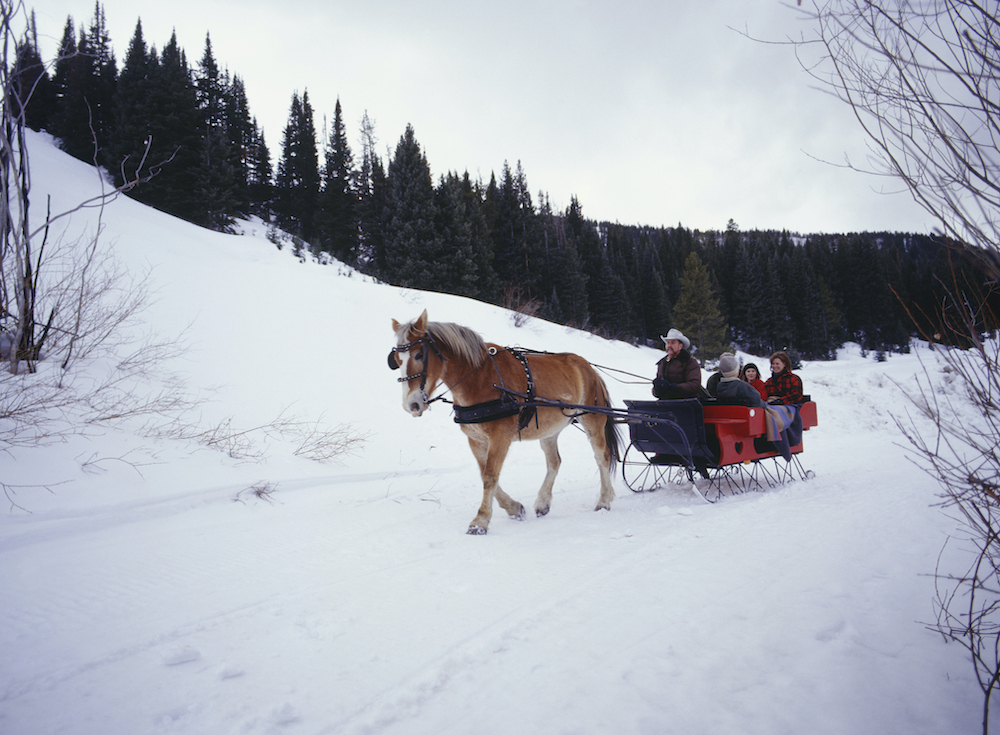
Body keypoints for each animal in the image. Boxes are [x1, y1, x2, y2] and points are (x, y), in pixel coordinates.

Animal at [389, 309, 620, 534]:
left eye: (419, 355)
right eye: (397, 360)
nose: (411, 405)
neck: (479, 378)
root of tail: (589, 368)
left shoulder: (501, 436)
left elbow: (490, 475)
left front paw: (480, 521)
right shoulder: (476, 439)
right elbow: (485, 474)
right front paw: (514, 508)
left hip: (592, 421)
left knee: (602, 456)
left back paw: (604, 500)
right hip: (549, 431)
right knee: (554, 462)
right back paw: (543, 503)